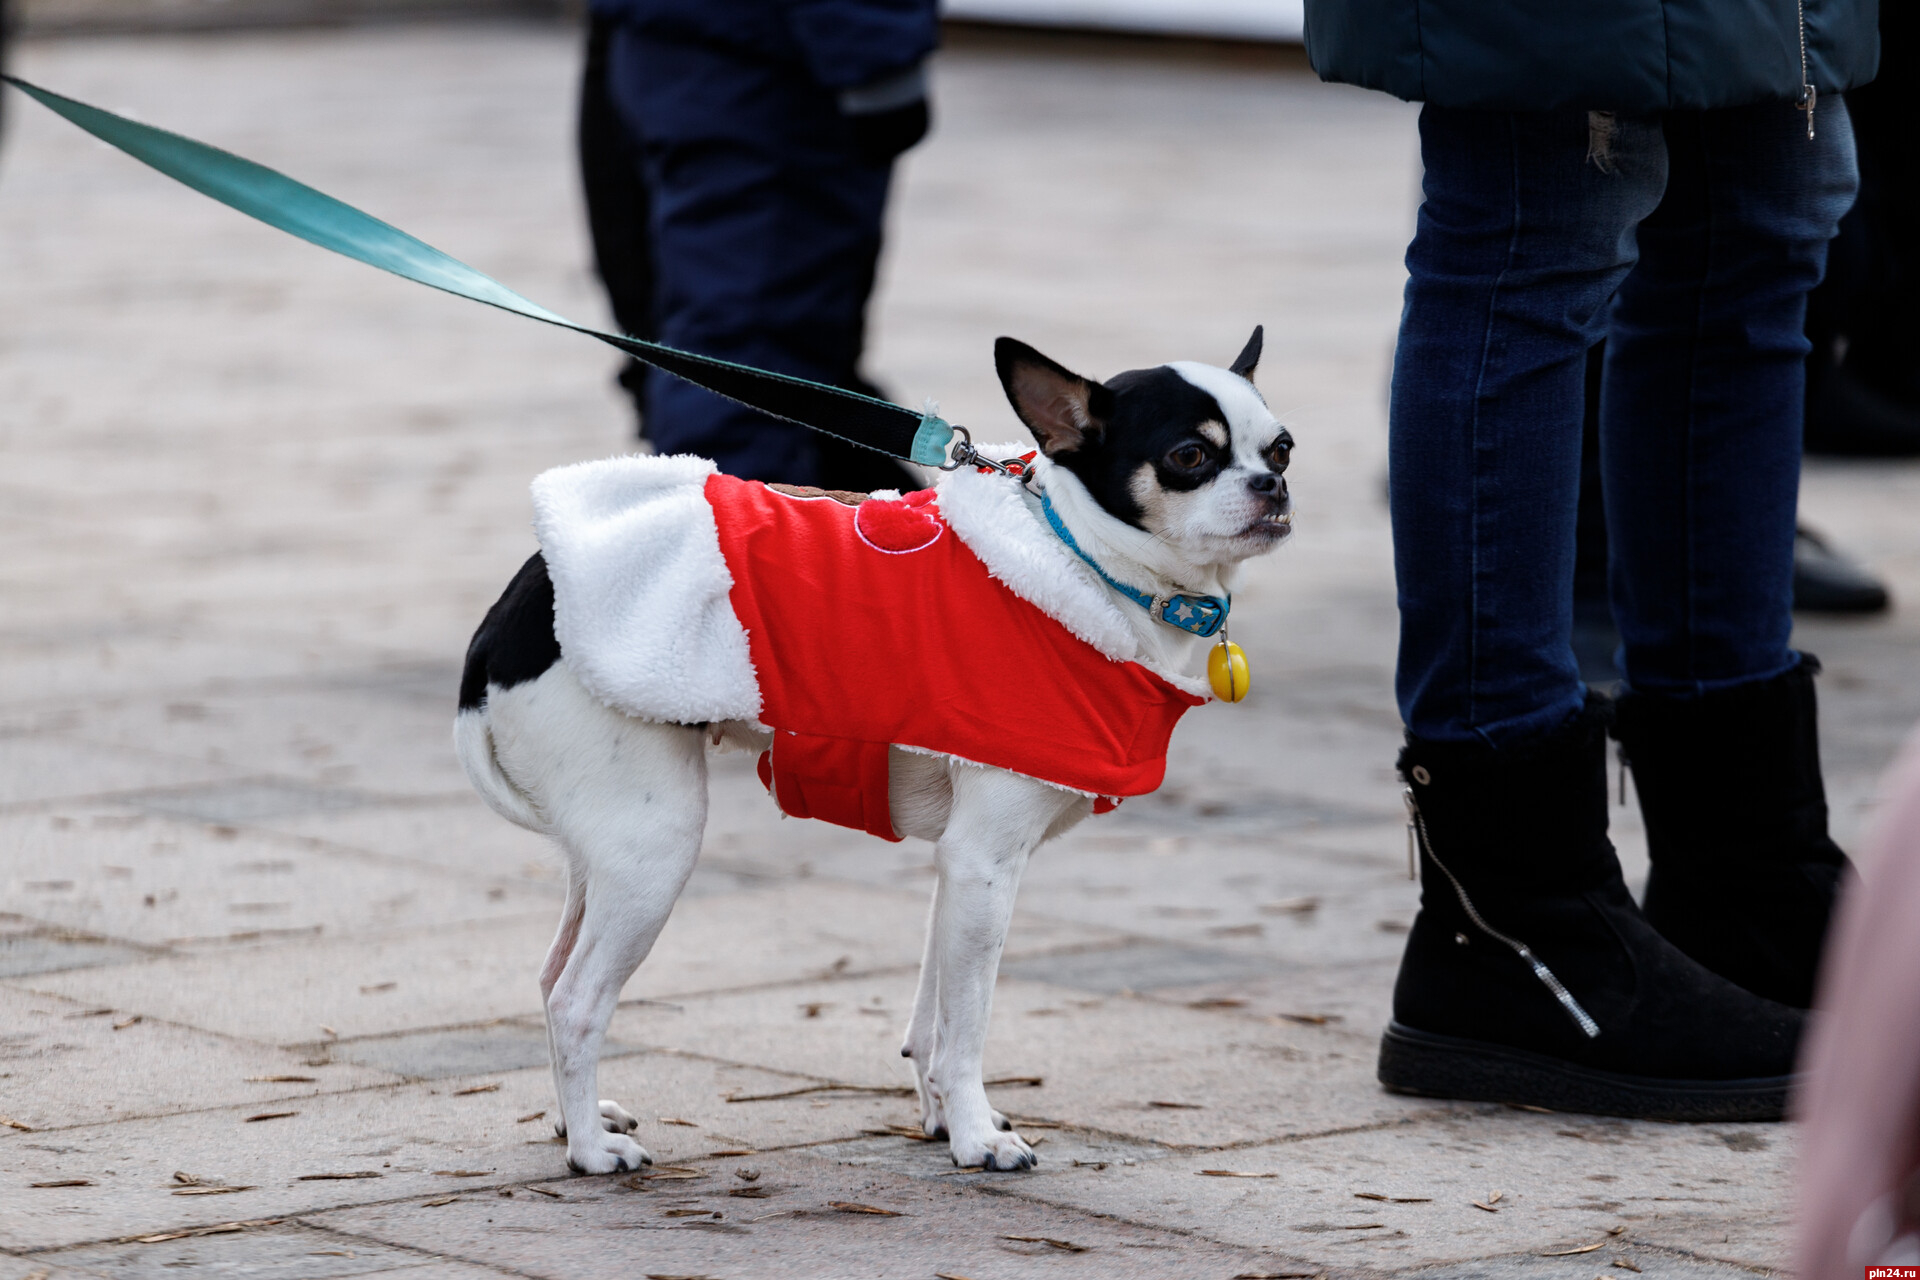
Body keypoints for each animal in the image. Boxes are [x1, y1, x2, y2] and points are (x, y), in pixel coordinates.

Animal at [453, 328, 1290, 1174]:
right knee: (576, 998)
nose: (1272, 486)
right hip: (654, 846)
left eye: (1281, 448)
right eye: (1190, 455)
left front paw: (945, 1118)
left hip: (605, 846)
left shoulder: (961, 870)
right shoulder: (985, 864)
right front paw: (979, 1138)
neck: (1080, 557)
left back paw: (576, 1121)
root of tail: (509, 614)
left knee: (551, 976)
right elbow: (968, 1025)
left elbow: (933, 1021)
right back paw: (592, 1151)